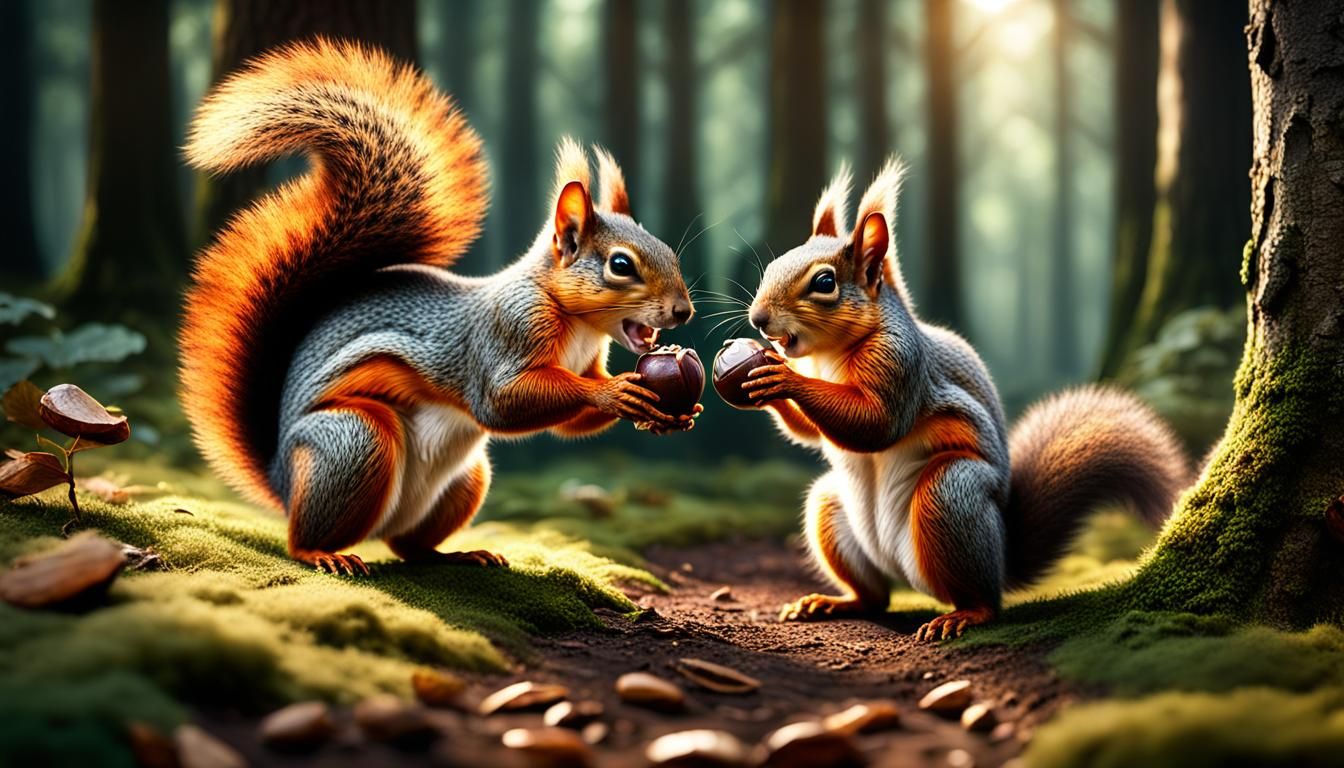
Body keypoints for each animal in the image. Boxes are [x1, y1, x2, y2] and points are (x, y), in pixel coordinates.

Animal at [180, 40, 696, 575]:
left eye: (669, 252)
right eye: (621, 265)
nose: (683, 312)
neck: (577, 324)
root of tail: (281, 477)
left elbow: (571, 422)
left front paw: (673, 410)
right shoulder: (507, 329)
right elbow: (503, 400)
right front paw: (615, 392)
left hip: (466, 480)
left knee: (408, 545)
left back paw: (458, 553)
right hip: (352, 444)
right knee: (305, 534)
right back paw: (323, 552)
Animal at [739, 160, 1190, 640]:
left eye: (825, 282)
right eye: (773, 265)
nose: (758, 319)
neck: (830, 356)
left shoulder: (903, 362)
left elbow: (877, 422)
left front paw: (782, 377)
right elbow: (812, 432)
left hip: (949, 496)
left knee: (983, 599)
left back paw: (963, 615)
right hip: (831, 508)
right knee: (874, 597)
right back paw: (832, 602)